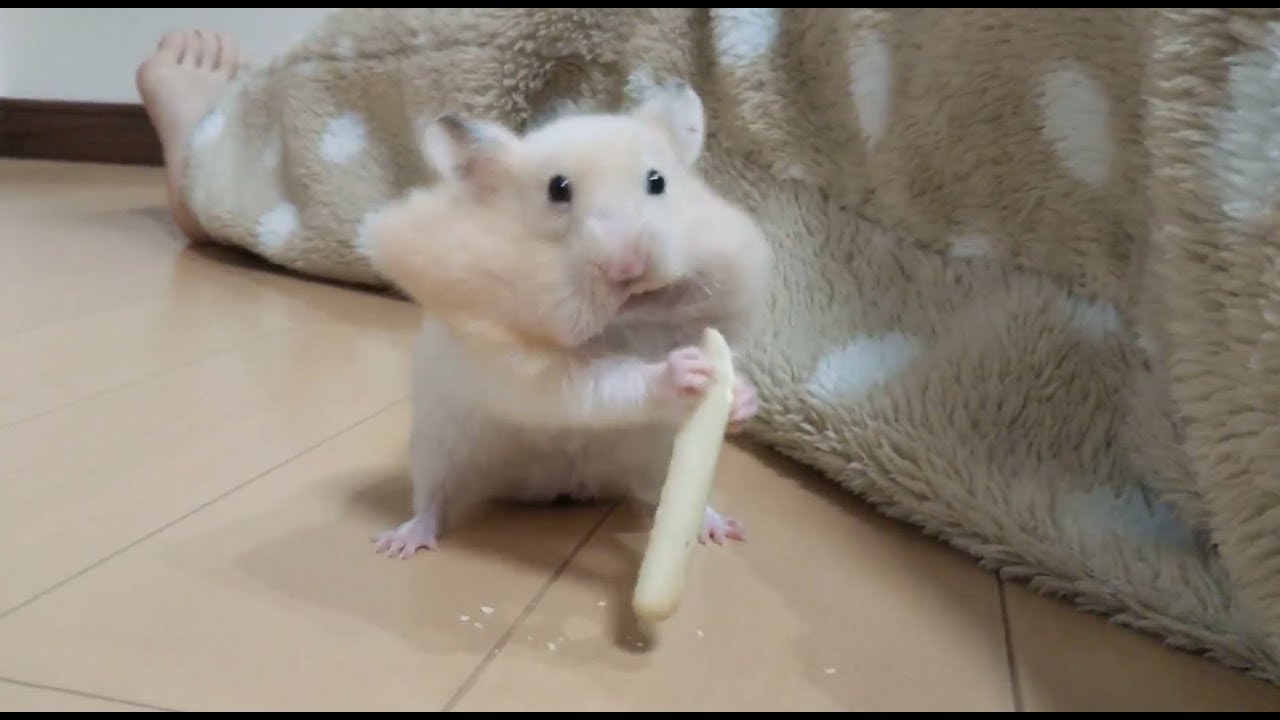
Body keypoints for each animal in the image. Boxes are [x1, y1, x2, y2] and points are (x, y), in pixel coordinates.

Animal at [366, 80, 773, 558]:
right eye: (558, 190)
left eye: (657, 181)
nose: (628, 268)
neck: (620, 324)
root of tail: (560, 488)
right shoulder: (522, 372)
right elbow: (609, 383)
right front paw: (688, 369)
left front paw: (741, 395)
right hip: (436, 449)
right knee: (433, 499)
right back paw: (399, 543)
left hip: (654, 462)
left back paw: (722, 528)